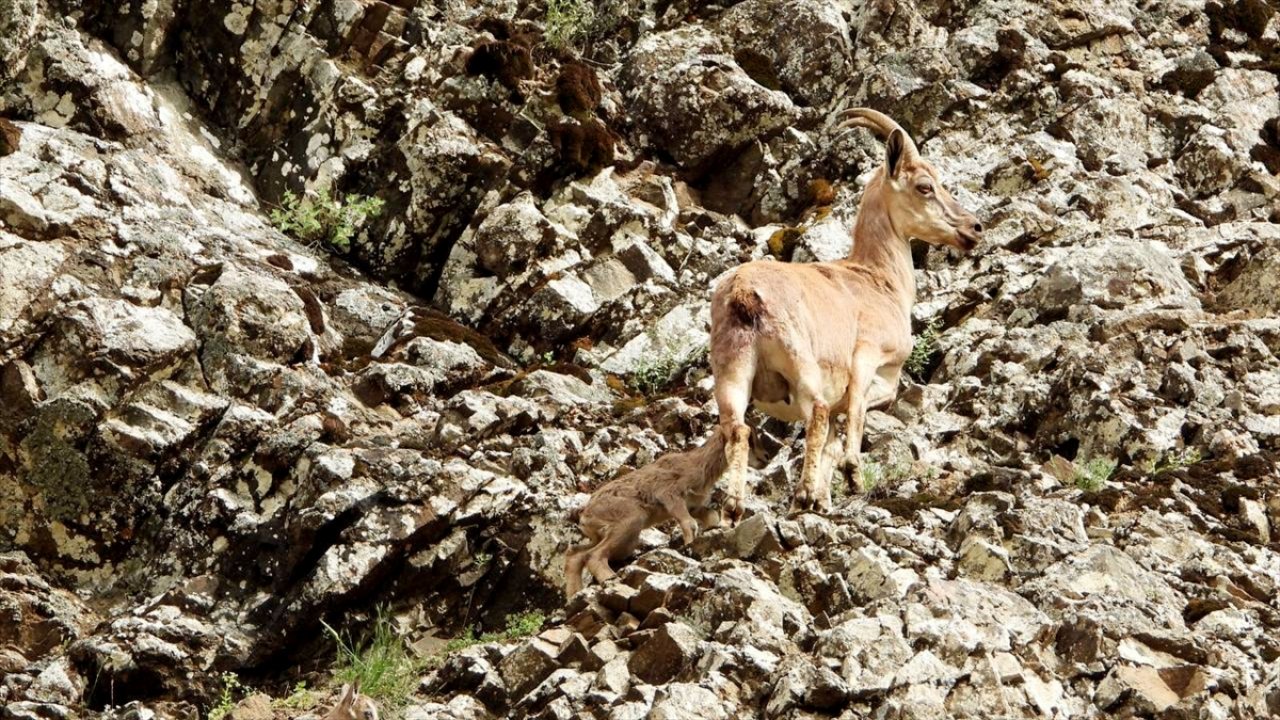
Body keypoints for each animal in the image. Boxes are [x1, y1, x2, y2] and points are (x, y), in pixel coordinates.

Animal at [711, 107, 977, 515]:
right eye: (925, 187)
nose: (973, 228)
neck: (880, 280)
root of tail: (743, 292)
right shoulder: (868, 355)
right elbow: (853, 412)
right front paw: (851, 475)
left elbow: (835, 438)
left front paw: (825, 497)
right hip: (799, 359)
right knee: (816, 412)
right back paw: (802, 494)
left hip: (732, 369)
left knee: (738, 428)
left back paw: (735, 507)